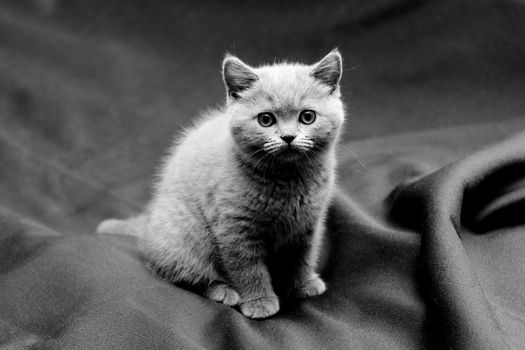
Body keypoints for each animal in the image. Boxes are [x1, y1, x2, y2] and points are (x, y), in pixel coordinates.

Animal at [96, 50, 346, 320]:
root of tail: (148, 224)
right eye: (266, 119)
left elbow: (302, 257)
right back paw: (223, 292)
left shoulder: (308, 224)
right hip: (188, 234)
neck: (287, 181)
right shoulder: (234, 228)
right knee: (175, 271)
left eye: (307, 117)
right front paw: (259, 301)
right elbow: (247, 268)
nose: (288, 137)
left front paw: (304, 284)